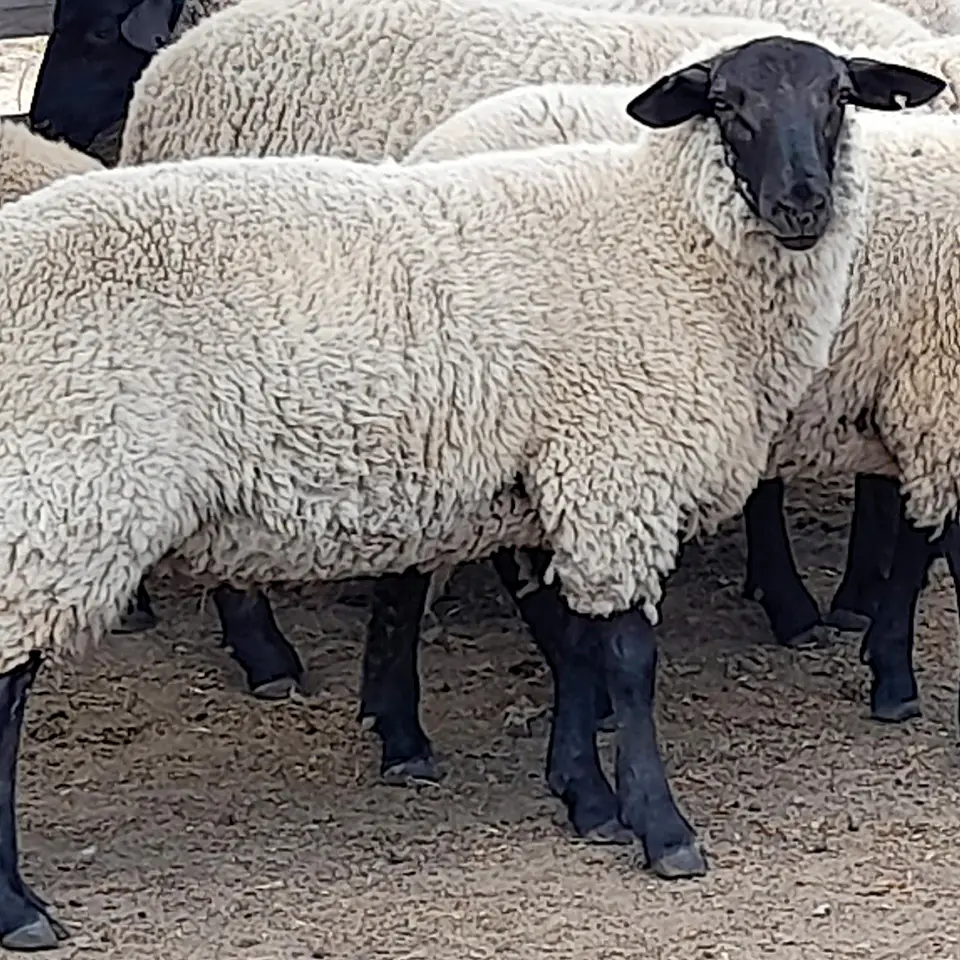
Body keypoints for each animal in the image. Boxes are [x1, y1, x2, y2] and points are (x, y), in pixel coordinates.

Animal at [0, 36, 936, 946]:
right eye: (726, 105)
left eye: (838, 98)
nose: (802, 206)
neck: (670, 239)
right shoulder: (615, 469)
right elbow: (628, 662)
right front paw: (663, 830)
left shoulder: (559, 481)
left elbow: (574, 646)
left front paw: (586, 799)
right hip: (62, 496)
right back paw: (23, 910)